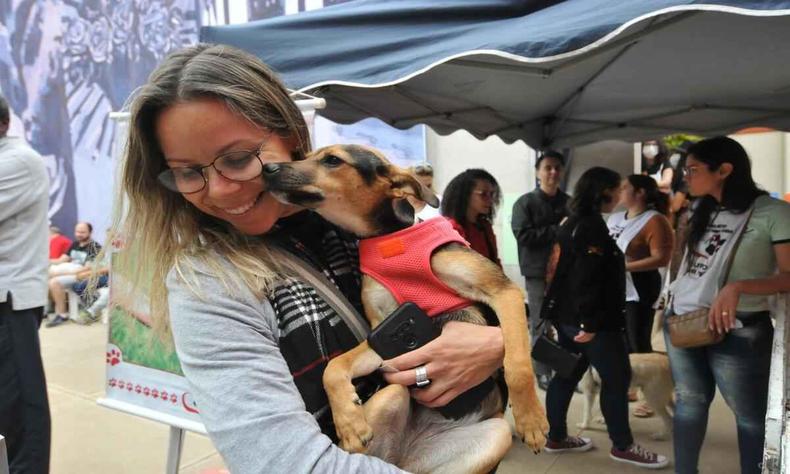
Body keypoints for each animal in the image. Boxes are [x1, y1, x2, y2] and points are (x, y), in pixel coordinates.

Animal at [262, 145, 548, 474]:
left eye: (332, 160)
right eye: (305, 155)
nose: (267, 168)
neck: (389, 240)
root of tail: (408, 455)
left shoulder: (504, 292)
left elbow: (518, 364)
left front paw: (532, 421)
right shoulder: (383, 333)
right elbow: (333, 367)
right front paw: (348, 422)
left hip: (495, 433)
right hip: (392, 394)